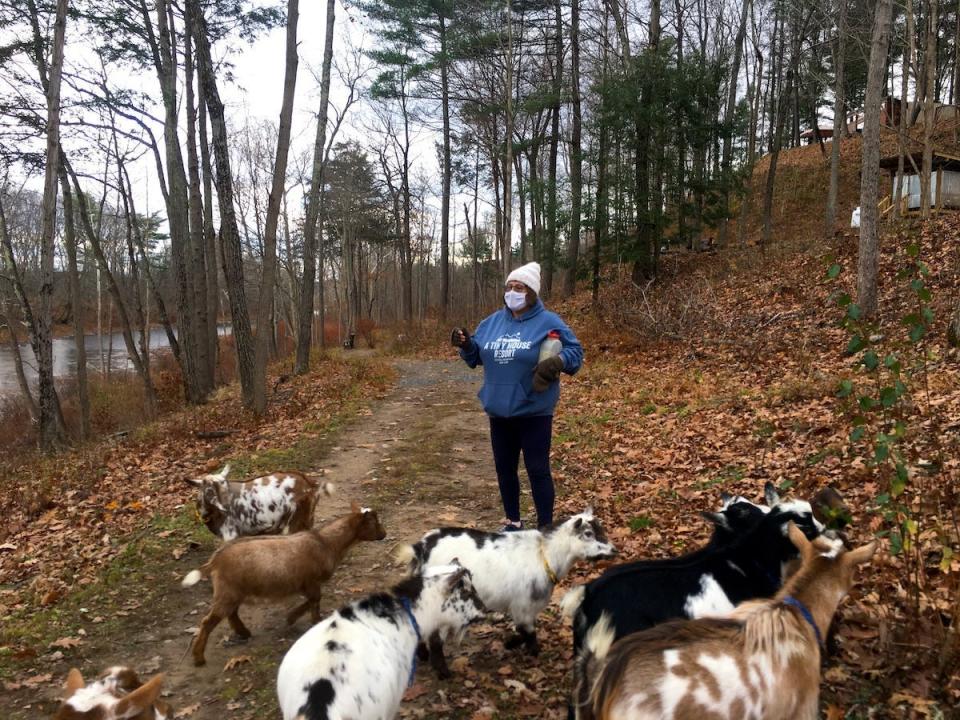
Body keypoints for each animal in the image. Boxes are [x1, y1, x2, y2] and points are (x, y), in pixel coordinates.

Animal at [182, 500, 384, 664]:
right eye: (374, 522)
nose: (384, 534)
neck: (326, 543)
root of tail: (215, 560)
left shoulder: (306, 583)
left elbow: (312, 600)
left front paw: (297, 618)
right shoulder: (311, 581)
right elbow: (315, 600)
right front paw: (307, 619)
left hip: (233, 591)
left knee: (231, 614)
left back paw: (243, 632)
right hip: (228, 591)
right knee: (208, 621)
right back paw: (199, 657)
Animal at [398, 510, 616, 672]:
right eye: (588, 534)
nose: (614, 550)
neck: (545, 554)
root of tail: (421, 548)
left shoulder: (522, 607)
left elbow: (522, 629)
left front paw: (510, 643)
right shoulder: (524, 605)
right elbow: (528, 631)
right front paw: (532, 650)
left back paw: (423, 656)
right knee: (435, 637)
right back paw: (442, 671)